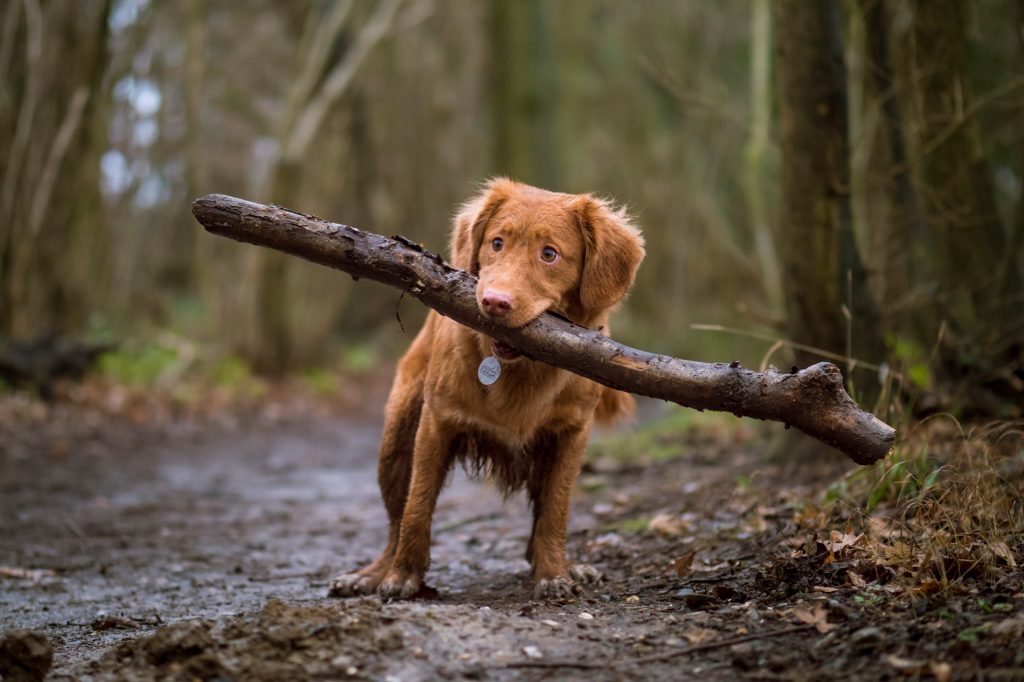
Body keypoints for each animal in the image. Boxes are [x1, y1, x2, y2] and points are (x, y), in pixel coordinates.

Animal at [331, 178, 643, 598]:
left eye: (549, 254)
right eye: (497, 243)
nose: (494, 302)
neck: (520, 369)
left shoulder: (571, 434)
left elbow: (555, 510)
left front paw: (554, 573)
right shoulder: (436, 423)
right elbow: (417, 506)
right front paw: (403, 576)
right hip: (396, 440)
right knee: (396, 519)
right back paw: (373, 573)